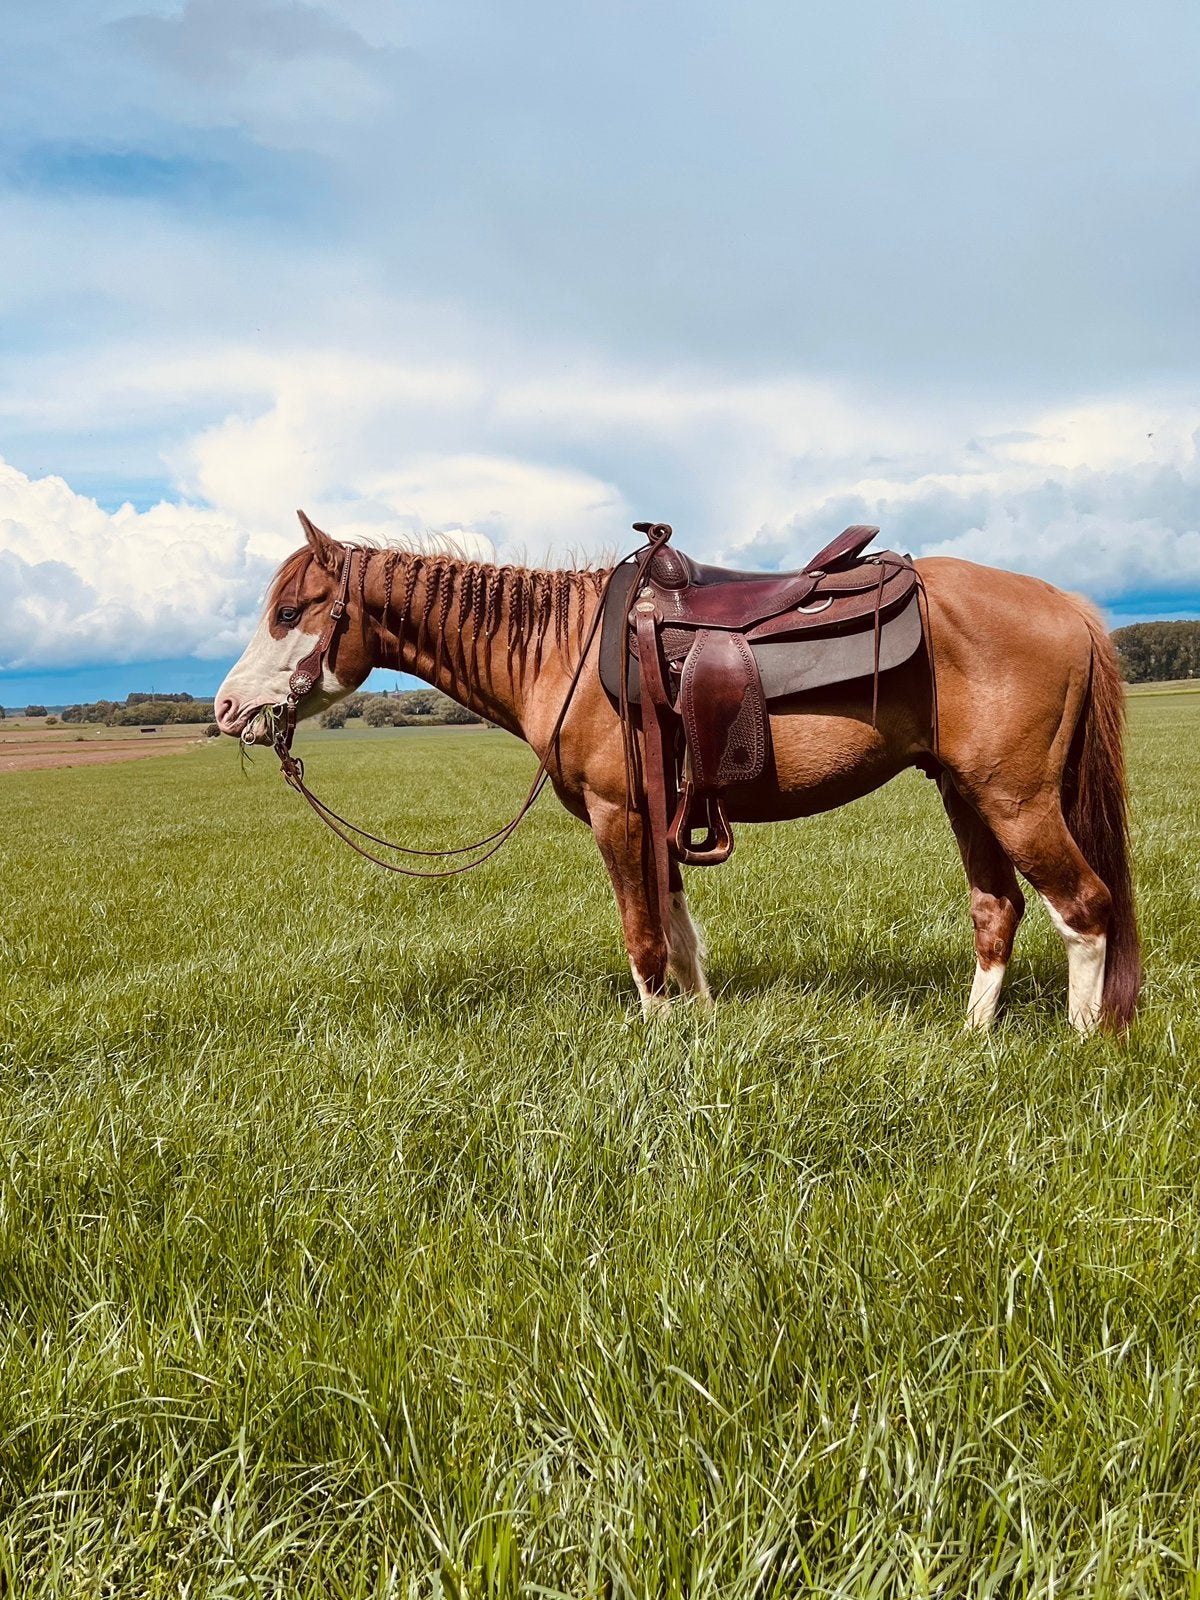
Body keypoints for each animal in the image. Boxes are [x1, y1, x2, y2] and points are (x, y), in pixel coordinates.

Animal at [215, 512, 1140, 1035]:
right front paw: (699, 1026)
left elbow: (645, 938)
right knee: (999, 909)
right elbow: (683, 932)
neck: (564, 648)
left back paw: (1082, 1041)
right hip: (965, 794)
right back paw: (973, 1040)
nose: (226, 708)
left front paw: (659, 1039)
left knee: (1084, 906)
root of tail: (1068, 606)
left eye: (289, 612)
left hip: (1016, 799)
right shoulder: (661, 815)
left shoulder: (619, 813)